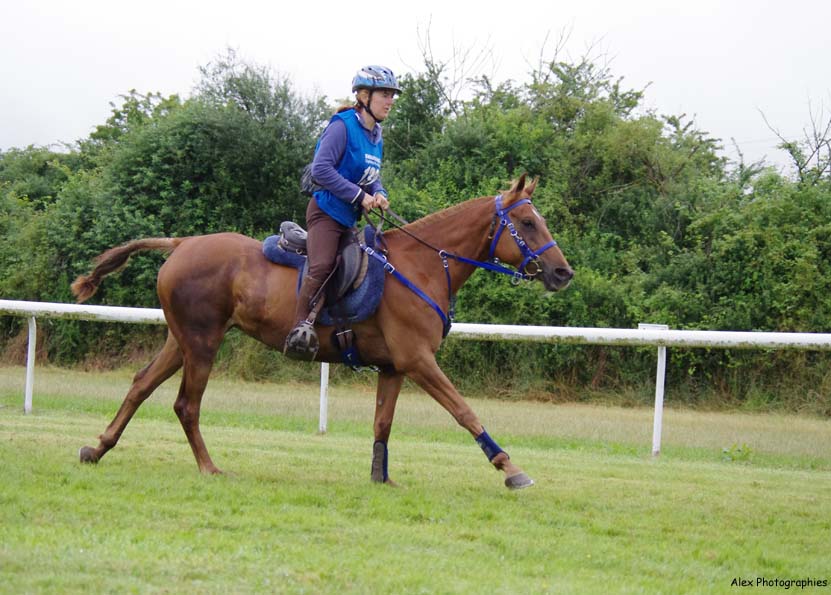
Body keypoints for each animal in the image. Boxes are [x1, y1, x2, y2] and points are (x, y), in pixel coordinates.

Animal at [71, 174, 573, 489]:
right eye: (527, 223)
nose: (563, 272)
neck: (423, 266)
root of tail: (183, 243)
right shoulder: (418, 361)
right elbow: (465, 412)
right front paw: (510, 468)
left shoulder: (395, 368)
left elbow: (383, 424)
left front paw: (381, 478)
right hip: (202, 342)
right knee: (186, 405)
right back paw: (209, 468)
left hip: (182, 340)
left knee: (141, 385)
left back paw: (98, 448)